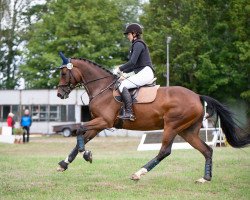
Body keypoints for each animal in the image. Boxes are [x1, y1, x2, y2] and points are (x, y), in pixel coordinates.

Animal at [55, 52, 249, 183]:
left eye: (64, 74)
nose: (59, 94)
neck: (102, 88)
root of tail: (197, 96)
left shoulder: (104, 121)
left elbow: (80, 129)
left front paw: (86, 154)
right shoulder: (99, 124)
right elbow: (82, 137)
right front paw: (64, 163)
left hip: (172, 126)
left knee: (165, 151)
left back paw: (138, 173)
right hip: (188, 131)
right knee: (207, 150)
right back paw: (205, 178)